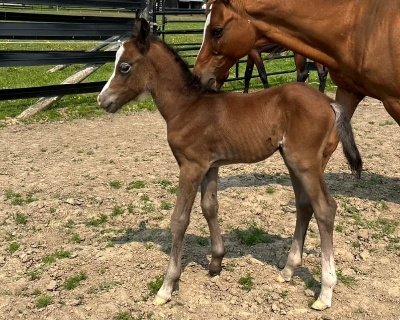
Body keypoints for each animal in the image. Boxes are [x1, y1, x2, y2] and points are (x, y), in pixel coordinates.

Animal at [97, 18, 362, 312]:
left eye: (124, 66)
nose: (102, 100)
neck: (187, 107)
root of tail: (329, 101)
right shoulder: (210, 165)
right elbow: (210, 207)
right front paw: (216, 263)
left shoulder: (190, 166)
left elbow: (180, 219)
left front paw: (166, 286)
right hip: (292, 161)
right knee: (305, 205)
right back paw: (287, 271)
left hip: (304, 162)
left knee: (325, 208)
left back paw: (325, 293)